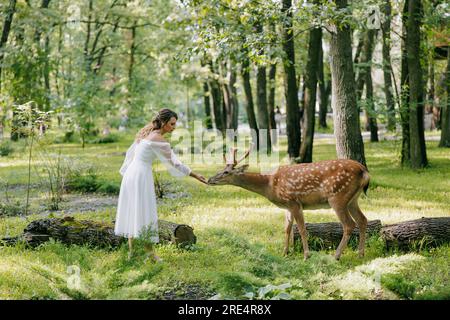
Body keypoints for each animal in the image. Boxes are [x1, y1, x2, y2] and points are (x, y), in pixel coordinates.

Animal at [207, 147, 370, 260]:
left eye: (226, 172)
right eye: (221, 169)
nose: (209, 179)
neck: (270, 185)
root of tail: (364, 171)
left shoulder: (294, 202)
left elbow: (302, 229)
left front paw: (306, 256)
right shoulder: (287, 206)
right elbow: (287, 228)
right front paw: (284, 253)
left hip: (338, 196)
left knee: (349, 224)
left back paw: (336, 256)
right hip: (352, 199)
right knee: (362, 219)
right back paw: (360, 254)